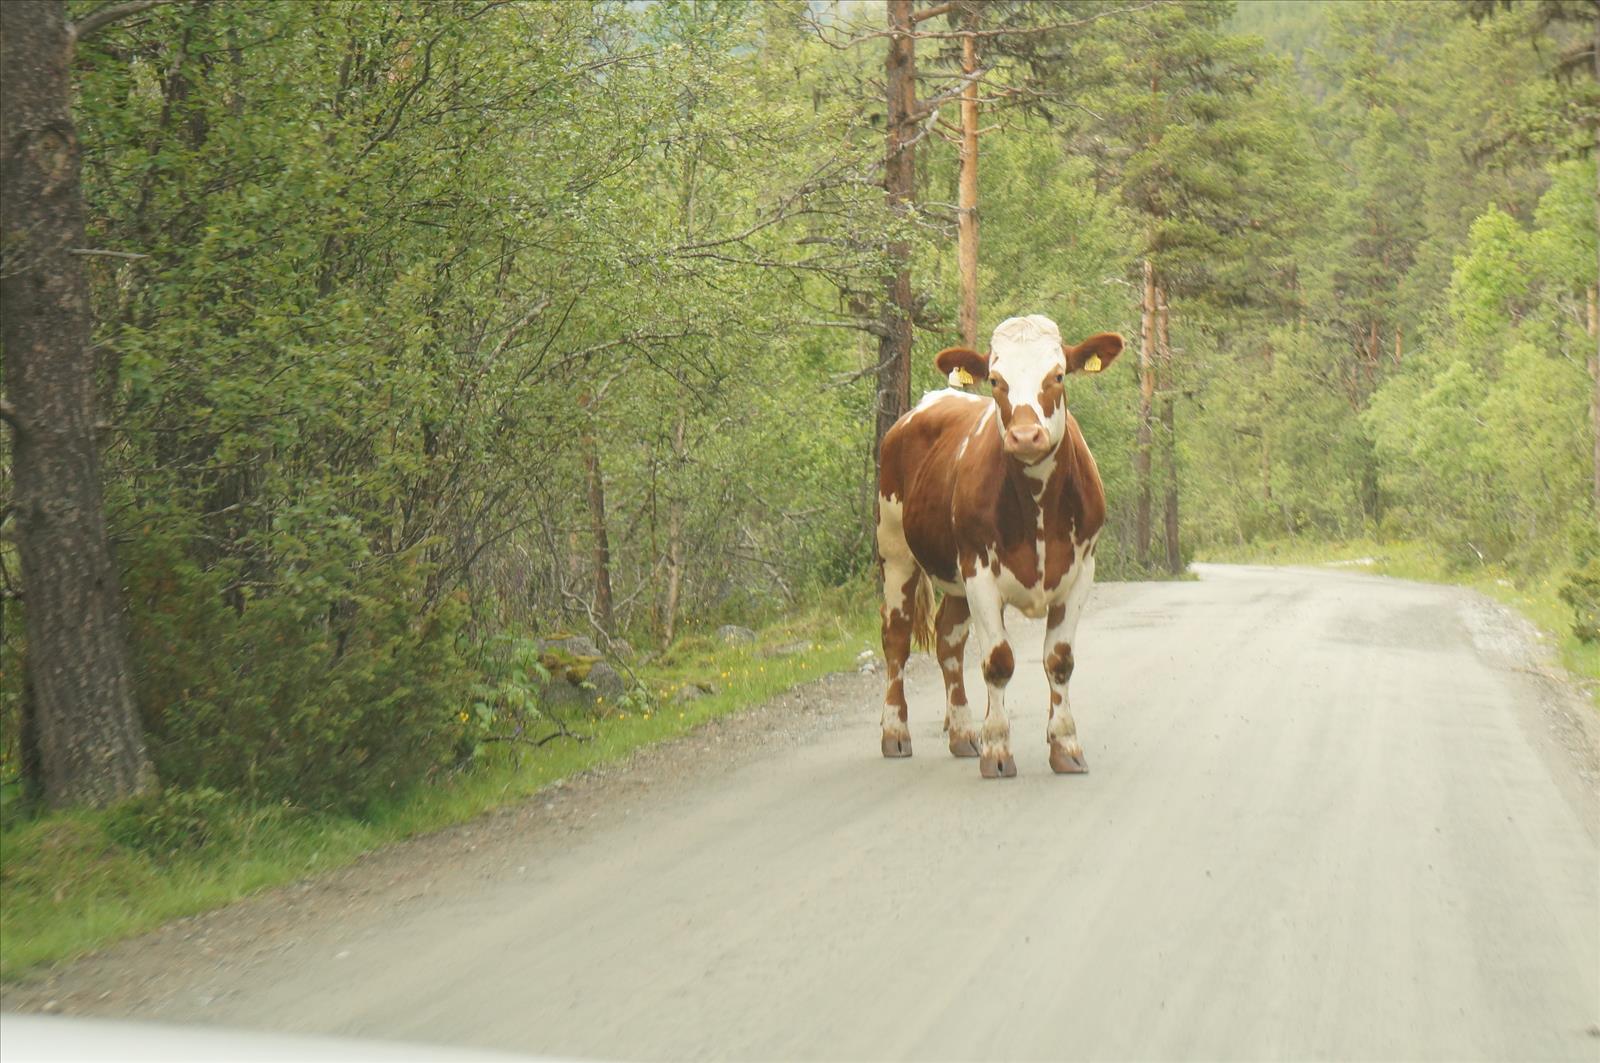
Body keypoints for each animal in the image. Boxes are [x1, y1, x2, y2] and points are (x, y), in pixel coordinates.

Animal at [876, 312, 1126, 778]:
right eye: (994, 380)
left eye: (1058, 375)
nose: (1026, 436)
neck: (1038, 507)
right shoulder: (980, 574)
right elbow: (998, 662)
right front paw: (997, 749)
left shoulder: (1081, 572)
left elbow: (1059, 661)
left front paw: (1065, 745)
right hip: (895, 549)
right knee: (897, 637)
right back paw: (896, 733)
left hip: (951, 574)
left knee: (948, 639)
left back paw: (961, 733)